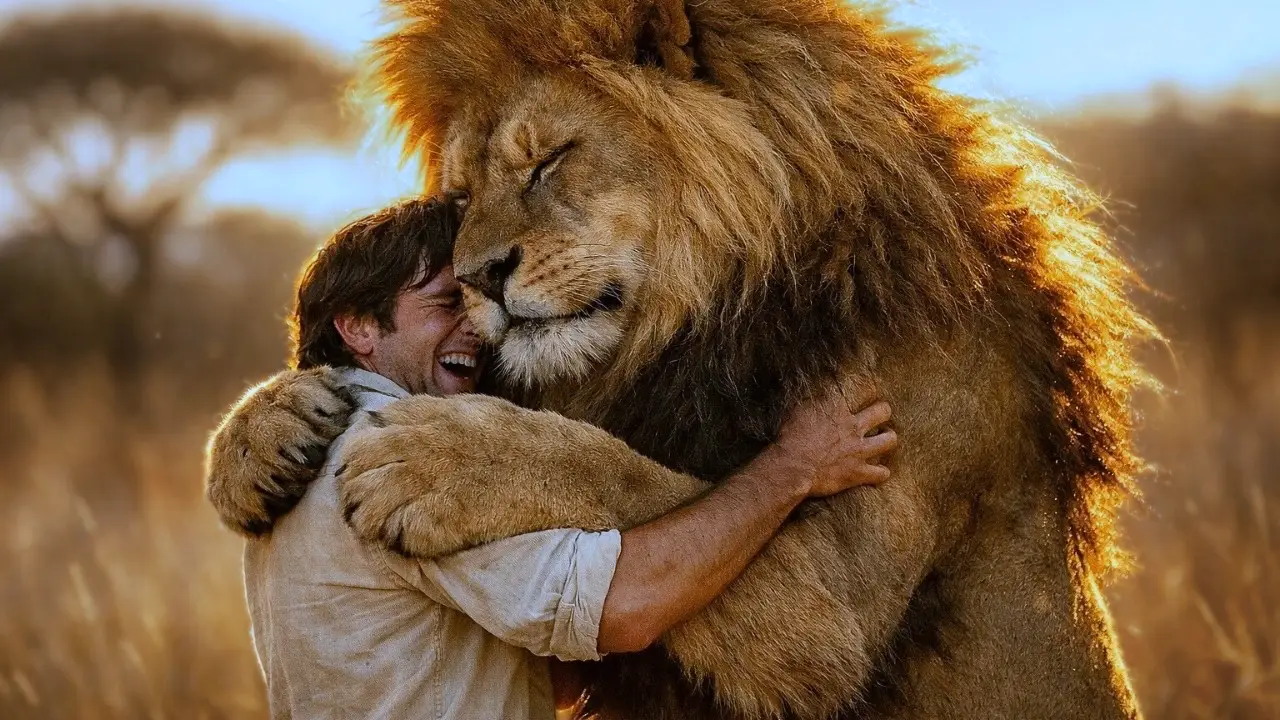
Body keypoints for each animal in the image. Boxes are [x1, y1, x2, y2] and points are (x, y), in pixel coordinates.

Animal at [205, 0, 1156, 718]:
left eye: (550, 160)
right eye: (463, 195)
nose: (478, 277)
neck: (707, 321)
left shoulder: (835, 609)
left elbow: (634, 476)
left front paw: (438, 459)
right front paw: (256, 436)